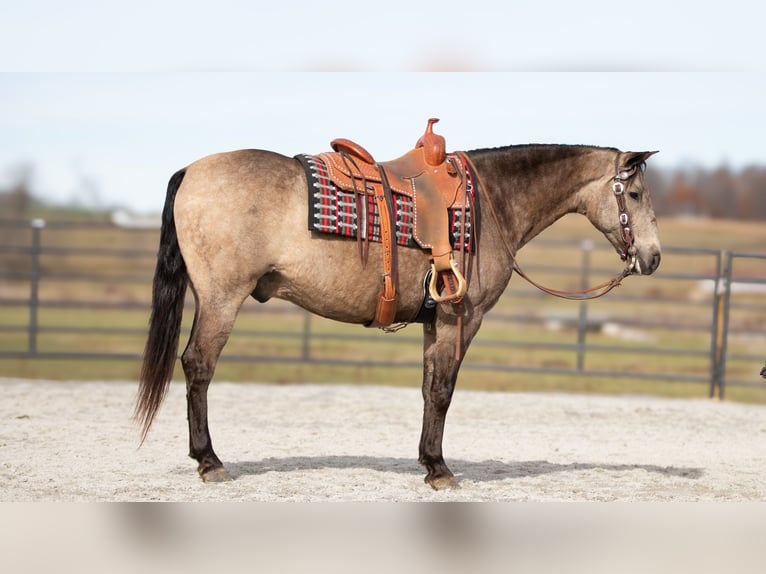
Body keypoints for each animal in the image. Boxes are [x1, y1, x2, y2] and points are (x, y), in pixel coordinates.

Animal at [135, 121, 664, 490]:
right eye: (635, 194)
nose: (653, 257)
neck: (490, 203)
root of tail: (191, 171)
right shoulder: (461, 318)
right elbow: (444, 391)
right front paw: (441, 470)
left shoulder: (436, 320)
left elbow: (430, 389)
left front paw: (429, 462)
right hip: (221, 300)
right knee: (198, 366)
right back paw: (210, 461)